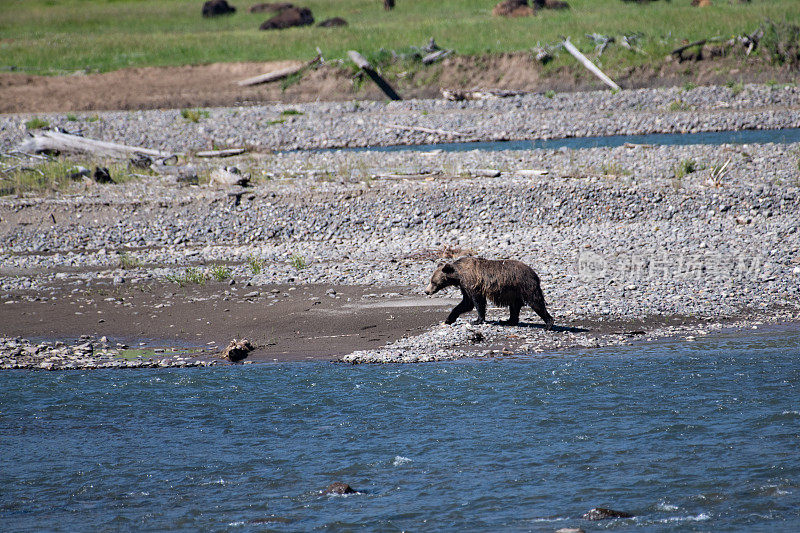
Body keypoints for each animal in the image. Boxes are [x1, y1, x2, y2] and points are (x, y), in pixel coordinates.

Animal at [424, 256, 552, 328]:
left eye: (433, 281)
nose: (426, 291)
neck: (458, 275)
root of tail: (534, 274)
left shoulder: (473, 284)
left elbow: (477, 302)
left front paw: (477, 320)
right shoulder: (464, 286)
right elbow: (466, 303)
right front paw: (448, 319)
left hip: (525, 285)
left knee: (536, 302)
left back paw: (549, 324)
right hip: (514, 291)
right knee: (514, 306)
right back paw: (509, 321)